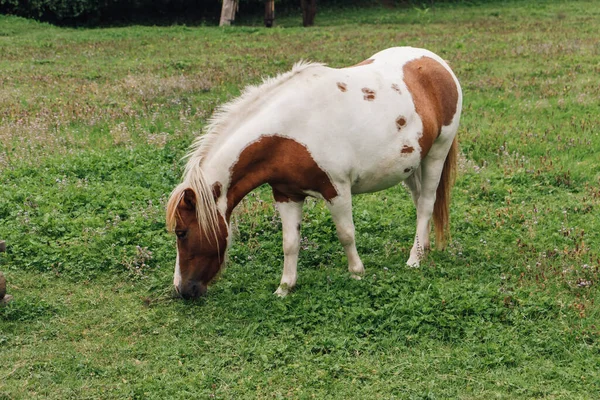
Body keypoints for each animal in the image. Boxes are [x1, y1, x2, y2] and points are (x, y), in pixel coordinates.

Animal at [166, 47, 462, 298]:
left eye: (182, 232)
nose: (182, 290)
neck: (290, 131)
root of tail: (439, 63)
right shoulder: (286, 194)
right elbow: (290, 242)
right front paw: (285, 288)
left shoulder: (337, 190)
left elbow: (346, 233)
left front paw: (357, 273)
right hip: (413, 165)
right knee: (421, 203)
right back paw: (423, 250)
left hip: (436, 153)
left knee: (426, 205)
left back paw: (414, 259)